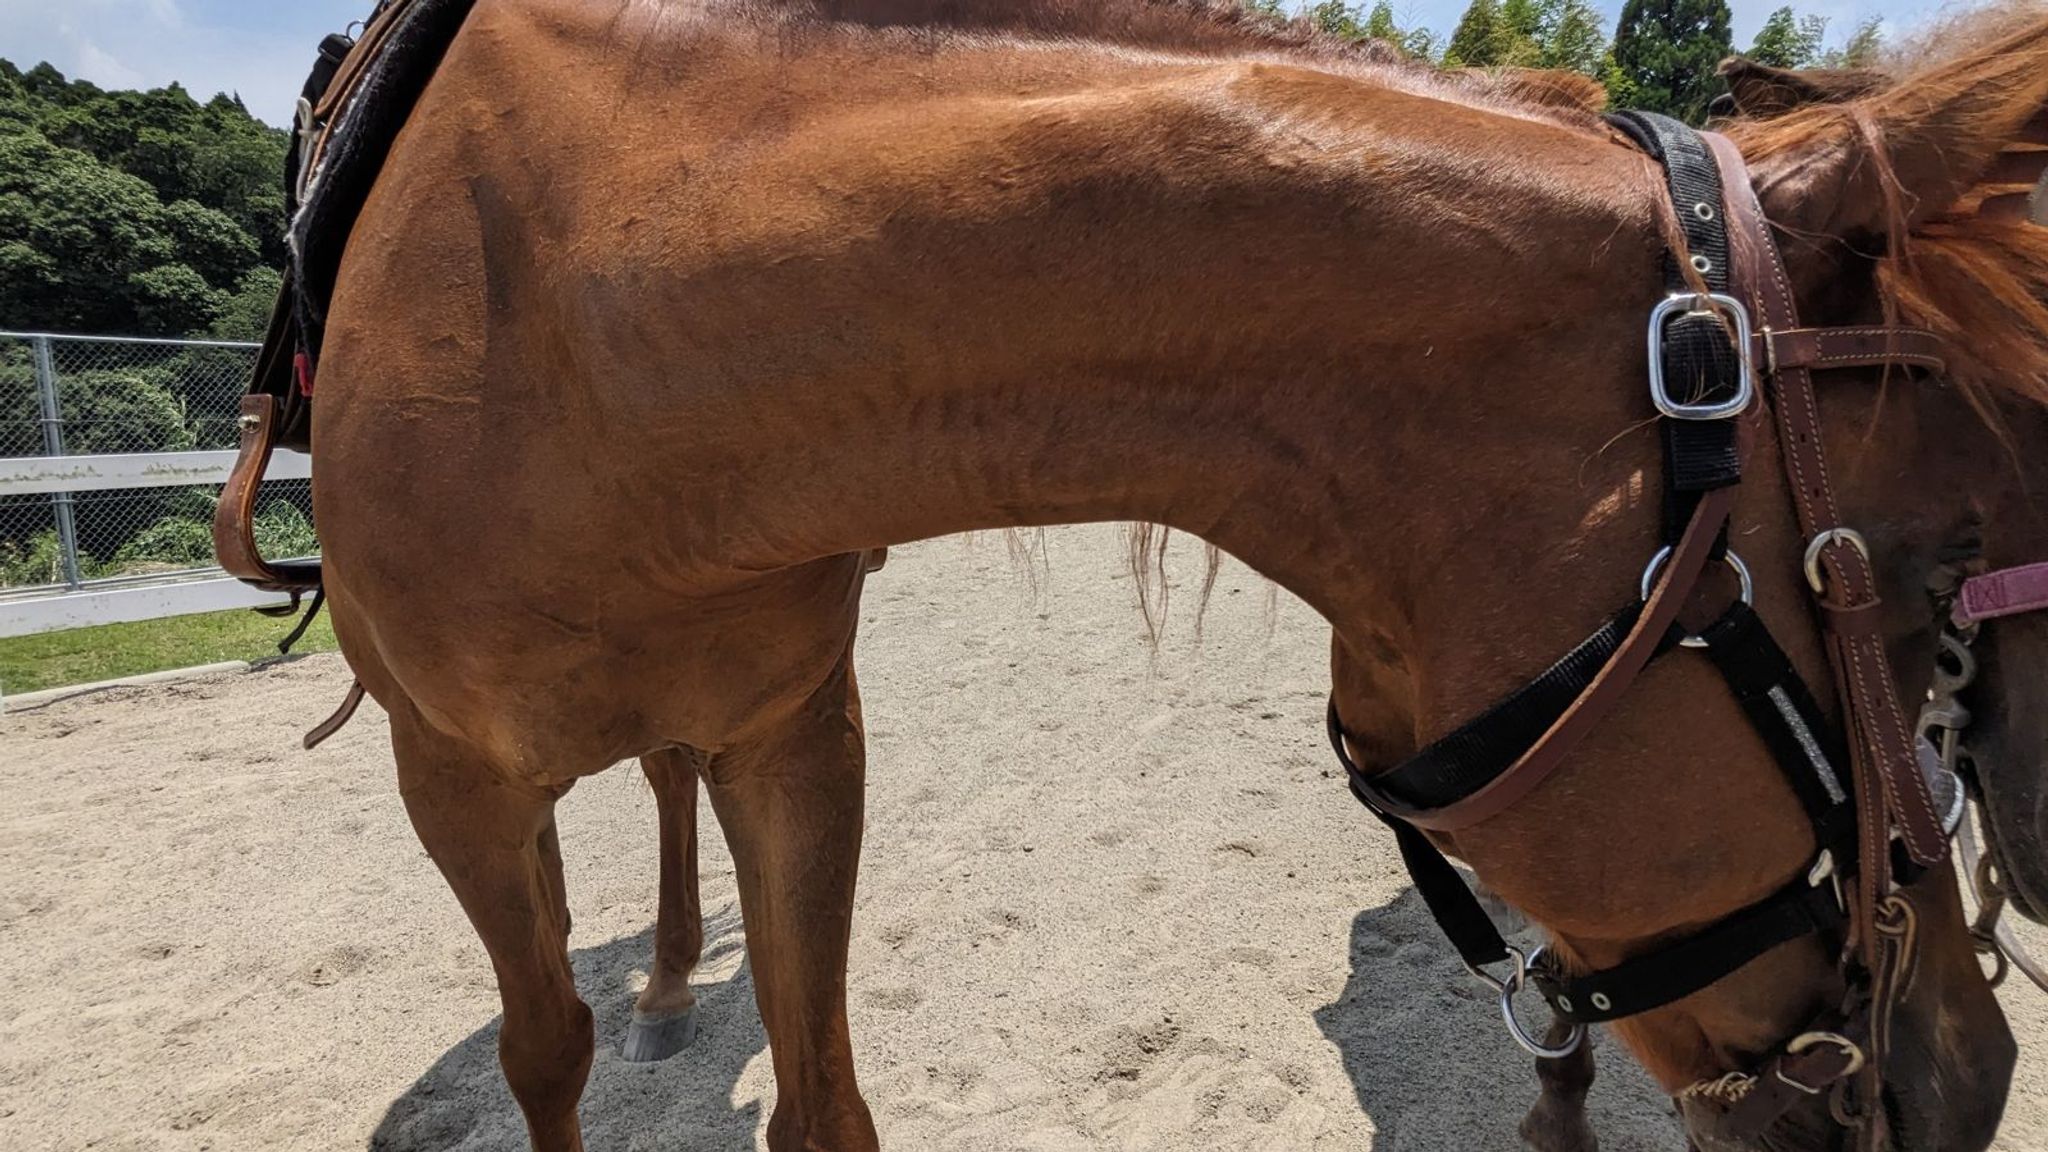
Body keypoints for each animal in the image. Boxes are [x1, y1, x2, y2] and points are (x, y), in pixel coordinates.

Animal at [303, 2, 2048, 1148]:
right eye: (1914, 573)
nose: (1974, 1078)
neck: (561, 304)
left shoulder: (796, 736)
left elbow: (818, 1092)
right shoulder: (444, 779)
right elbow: (544, 1050)